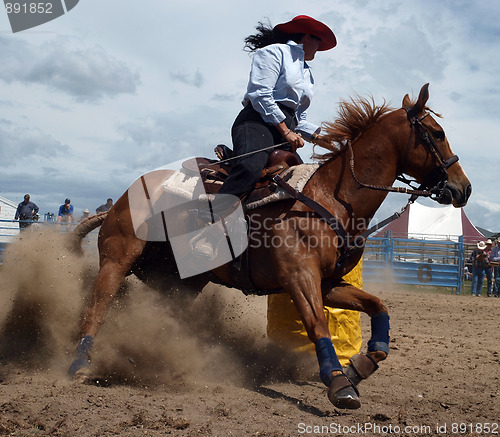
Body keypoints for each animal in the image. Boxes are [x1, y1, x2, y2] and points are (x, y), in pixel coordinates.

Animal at [69, 83, 468, 408]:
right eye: (437, 133)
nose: (464, 188)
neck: (329, 199)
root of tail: (122, 198)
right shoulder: (299, 278)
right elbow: (317, 325)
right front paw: (339, 383)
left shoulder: (329, 283)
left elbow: (378, 307)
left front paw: (361, 365)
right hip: (118, 257)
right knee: (98, 305)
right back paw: (80, 363)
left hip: (180, 281)